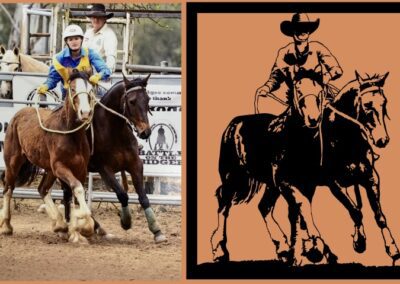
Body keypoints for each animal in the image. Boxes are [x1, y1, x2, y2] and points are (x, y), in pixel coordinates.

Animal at [0, 70, 96, 243]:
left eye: (90, 90)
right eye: (72, 89)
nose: (85, 113)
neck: (70, 134)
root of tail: (18, 115)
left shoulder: (80, 169)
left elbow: (75, 194)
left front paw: (77, 230)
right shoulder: (60, 167)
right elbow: (77, 189)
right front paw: (81, 223)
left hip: (49, 170)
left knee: (42, 189)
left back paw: (60, 225)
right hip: (13, 162)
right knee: (8, 188)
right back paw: (6, 226)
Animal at [209, 77, 328, 264]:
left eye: (321, 91)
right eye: (298, 91)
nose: (313, 119)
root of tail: (232, 126)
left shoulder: (308, 184)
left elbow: (298, 213)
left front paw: (303, 251)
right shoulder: (285, 182)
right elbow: (301, 205)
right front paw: (315, 246)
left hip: (269, 186)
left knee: (263, 207)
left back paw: (283, 249)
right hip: (234, 178)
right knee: (224, 203)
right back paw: (219, 250)